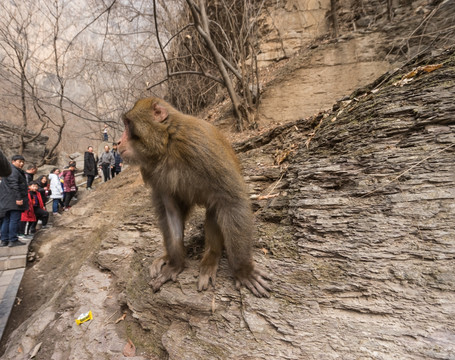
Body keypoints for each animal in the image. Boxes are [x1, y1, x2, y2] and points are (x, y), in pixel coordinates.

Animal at [117, 97, 270, 296]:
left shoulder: (199, 146)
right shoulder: (152, 171)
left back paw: (211, 257)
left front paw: (243, 270)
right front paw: (175, 265)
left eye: (127, 124)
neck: (167, 145)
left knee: (215, 205)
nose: (117, 142)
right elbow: (170, 210)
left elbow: (231, 201)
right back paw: (169, 256)